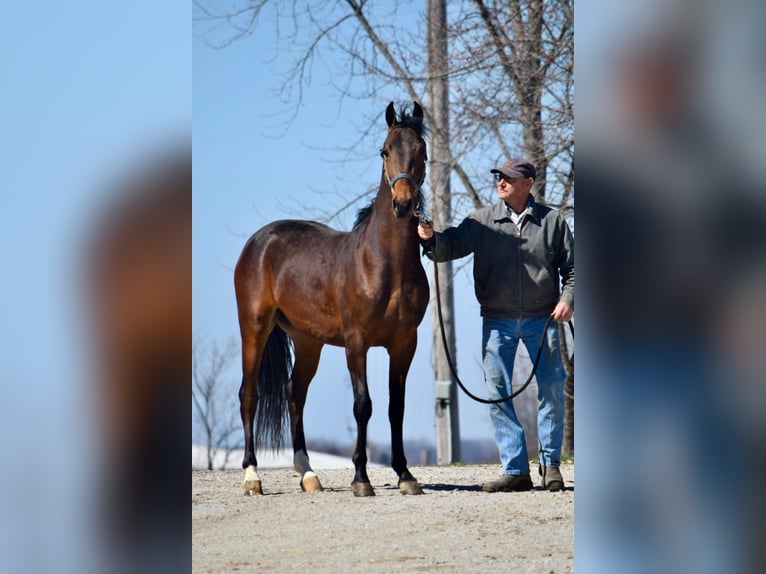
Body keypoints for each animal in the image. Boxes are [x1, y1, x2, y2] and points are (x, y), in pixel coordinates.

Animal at [234, 101, 429, 497]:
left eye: (422, 151)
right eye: (385, 151)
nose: (403, 205)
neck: (384, 264)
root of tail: (259, 241)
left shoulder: (405, 343)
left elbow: (395, 407)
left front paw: (405, 475)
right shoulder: (357, 342)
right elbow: (363, 405)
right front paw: (361, 479)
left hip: (308, 341)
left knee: (295, 394)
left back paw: (308, 474)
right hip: (254, 328)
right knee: (249, 395)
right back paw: (252, 477)